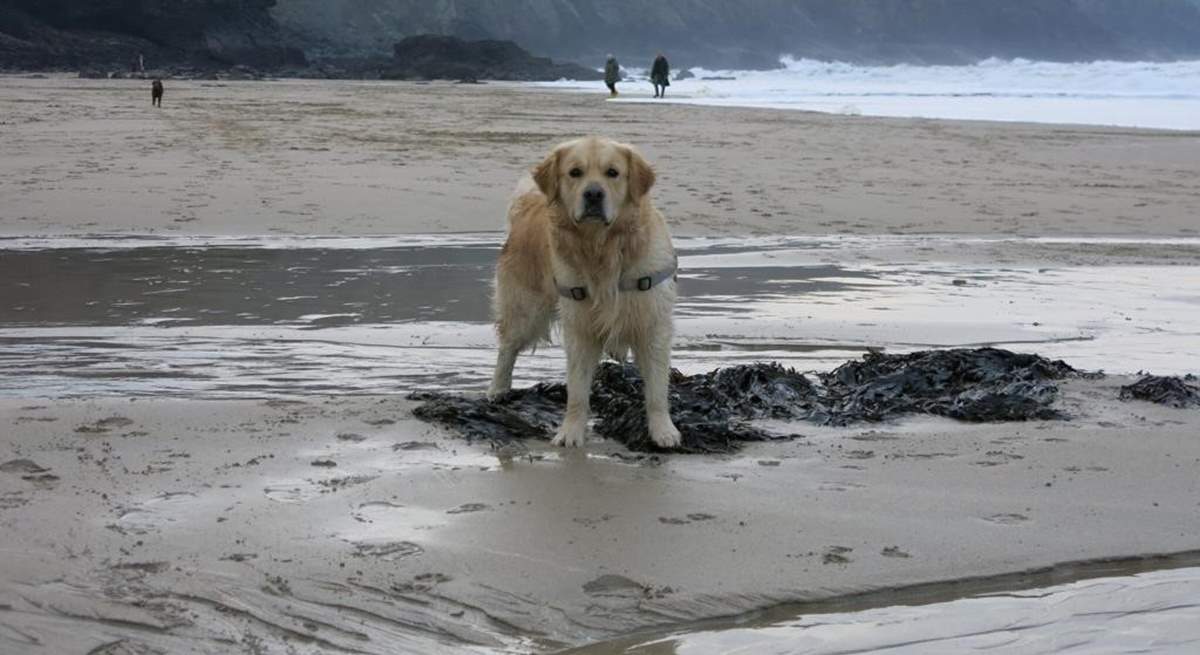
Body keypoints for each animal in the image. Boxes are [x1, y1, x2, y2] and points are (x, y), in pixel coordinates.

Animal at [482, 134, 681, 446]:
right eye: (575, 172)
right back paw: (497, 389)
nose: (593, 194)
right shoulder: (579, 325)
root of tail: (528, 203)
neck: (602, 246)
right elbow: (576, 389)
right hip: (525, 309)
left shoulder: (653, 323)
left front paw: (663, 430)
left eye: (613, 172)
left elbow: (657, 388)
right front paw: (570, 432)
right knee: (508, 347)